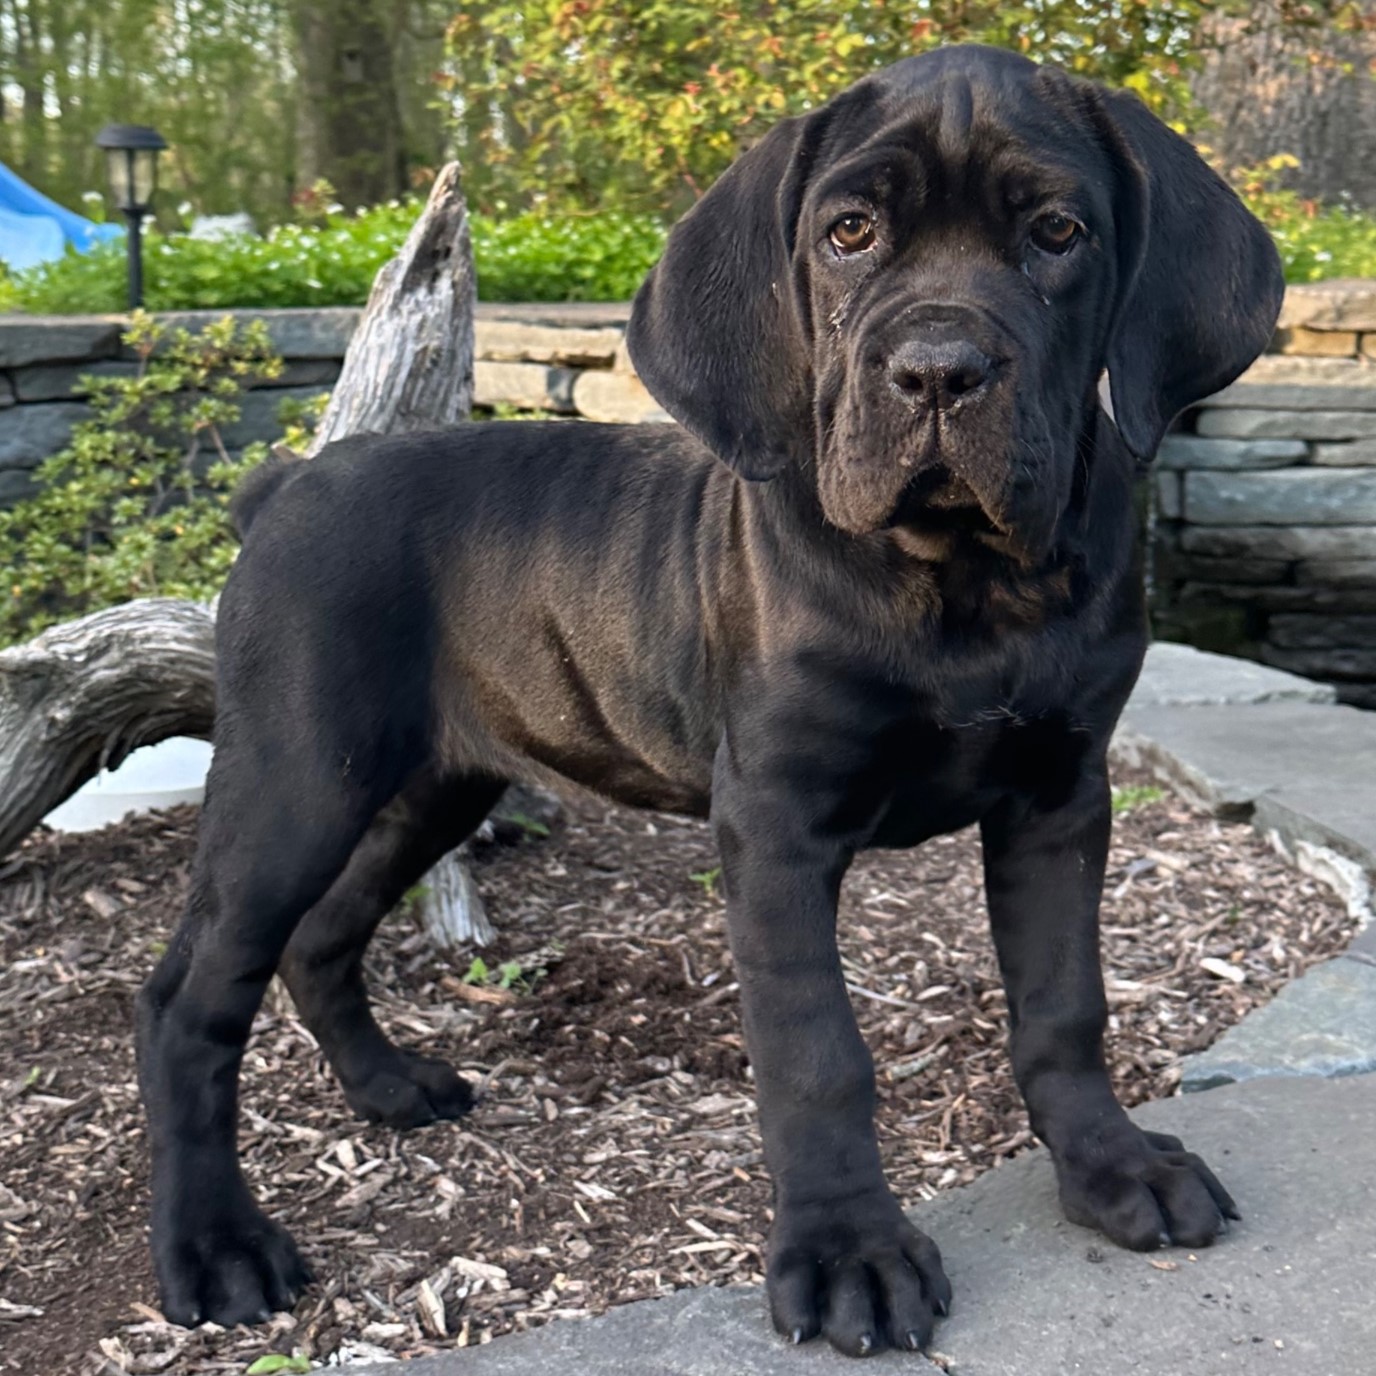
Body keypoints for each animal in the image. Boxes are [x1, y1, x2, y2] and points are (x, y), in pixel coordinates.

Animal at [134, 40, 1282, 1353]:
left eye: (1055, 231)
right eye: (847, 231)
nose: (938, 371)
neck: (960, 583)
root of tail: (283, 488)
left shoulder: (1059, 794)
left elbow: (1062, 1003)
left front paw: (1108, 1167)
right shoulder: (775, 818)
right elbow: (814, 1047)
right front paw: (847, 1251)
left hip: (427, 778)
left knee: (321, 936)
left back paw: (389, 1086)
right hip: (294, 775)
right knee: (187, 997)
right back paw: (215, 1246)